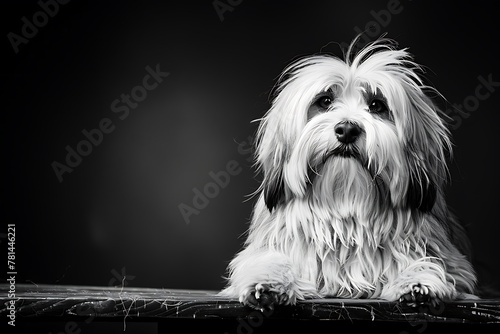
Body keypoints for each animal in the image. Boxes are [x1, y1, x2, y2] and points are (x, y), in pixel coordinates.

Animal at [220, 36, 476, 310]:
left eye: (377, 105)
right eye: (324, 101)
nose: (347, 129)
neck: (346, 207)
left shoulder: (449, 259)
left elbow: (428, 264)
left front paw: (418, 282)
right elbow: (268, 259)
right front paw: (267, 283)